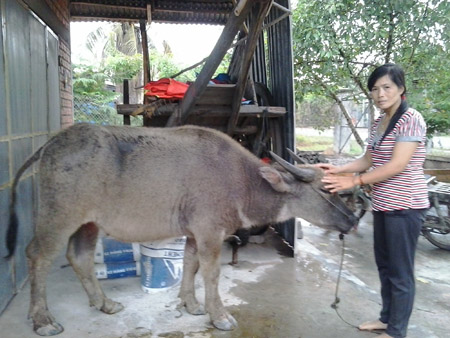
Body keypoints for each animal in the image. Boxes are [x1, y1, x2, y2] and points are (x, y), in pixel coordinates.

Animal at [4, 123, 356, 336]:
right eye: (325, 190)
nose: (352, 220)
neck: (242, 181)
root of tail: (52, 143)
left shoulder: (194, 233)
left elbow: (190, 264)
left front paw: (191, 304)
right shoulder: (210, 232)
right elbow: (212, 273)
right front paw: (220, 315)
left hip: (88, 223)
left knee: (79, 256)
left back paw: (104, 303)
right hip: (59, 216)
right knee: (38, 255)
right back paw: (43, 320)